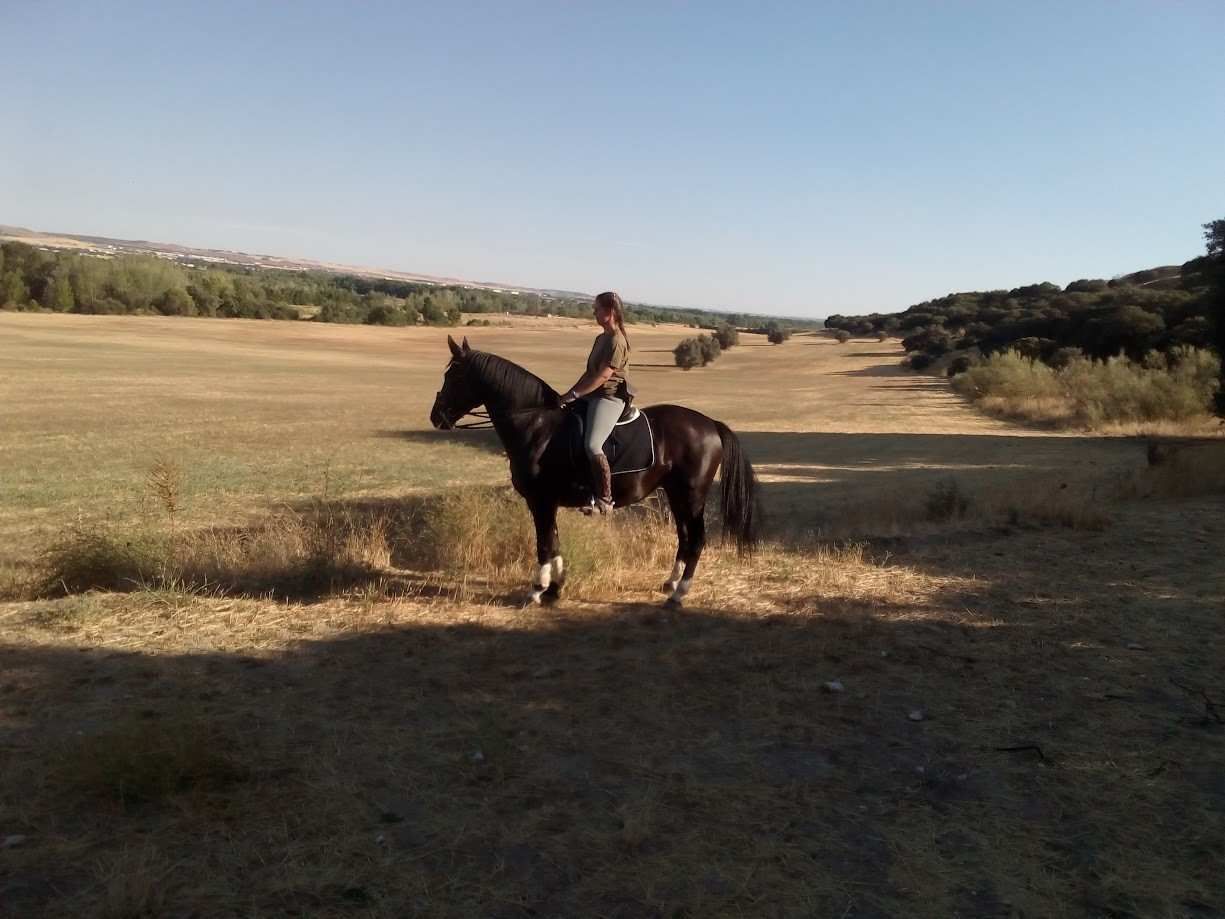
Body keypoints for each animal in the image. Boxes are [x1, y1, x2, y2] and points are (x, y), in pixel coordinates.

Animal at [429, 335, 758, 607]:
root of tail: (710, 424)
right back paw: (671, 583)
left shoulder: (540, 501)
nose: (436, 416)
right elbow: (554, 542)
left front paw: (538, 590)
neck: (537, 426)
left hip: (691, 496)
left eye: (453, 375)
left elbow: (544, 544)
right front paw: (555, 589)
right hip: (676, 494)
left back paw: (679, 594)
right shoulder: (547, 503)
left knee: (698, 539)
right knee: (685, 536)